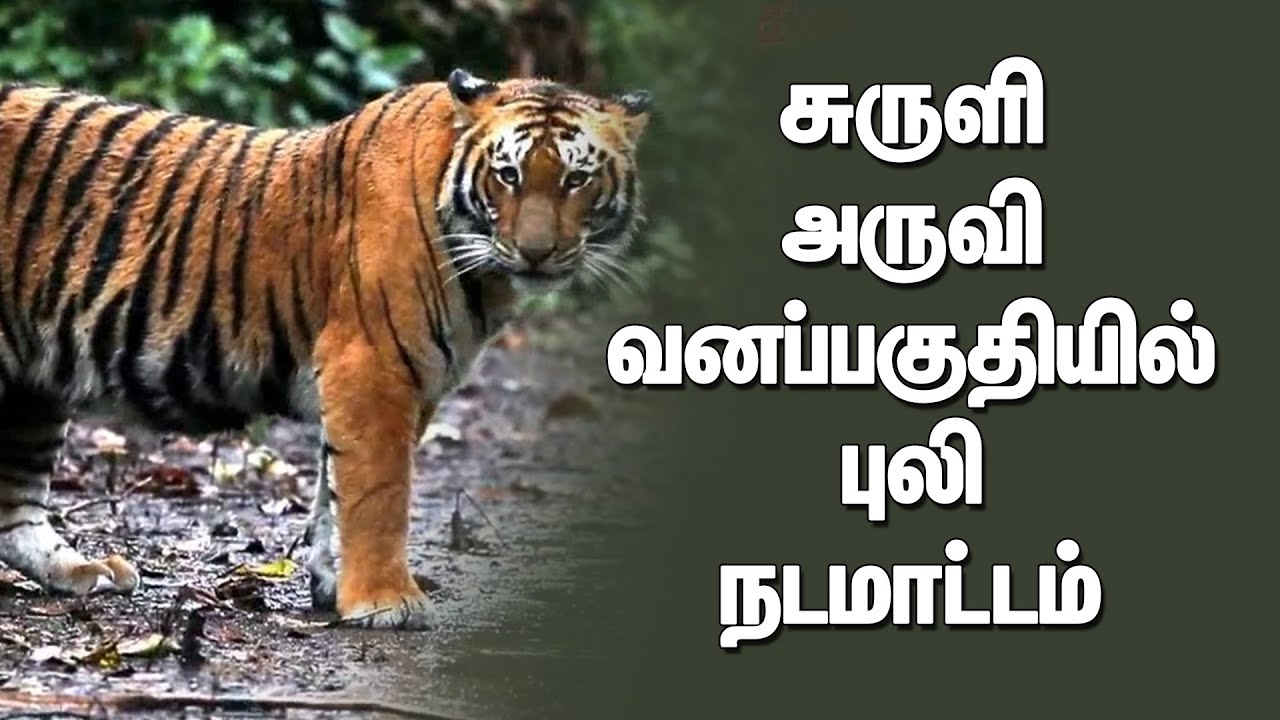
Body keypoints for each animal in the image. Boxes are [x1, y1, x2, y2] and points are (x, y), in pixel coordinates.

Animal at [0, 68, 651, 629]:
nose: (538, 253)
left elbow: (336, 490)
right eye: (509, 174)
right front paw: (386, 601)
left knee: (16, 508)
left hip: (32, 384)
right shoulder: (373, 366)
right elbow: (378, 491)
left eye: (576, 179)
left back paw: (82, 570)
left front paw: (336, 584)